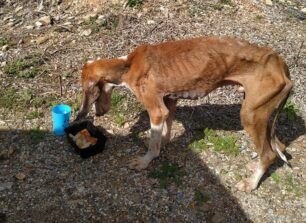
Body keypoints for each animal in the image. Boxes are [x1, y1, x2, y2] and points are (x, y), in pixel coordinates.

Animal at [76, 36, 292, 192]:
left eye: (87, 91)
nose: (85, 115)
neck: (128, 64)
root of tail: (281, 64)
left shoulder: (156, 111)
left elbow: (153, 144)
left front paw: (145, 161)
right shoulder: (169, 103)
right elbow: (164, 133)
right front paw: (163, 144)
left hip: (250, 115)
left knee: (269, 154)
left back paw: (251, 184)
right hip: (262, 114)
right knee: (278, 147)